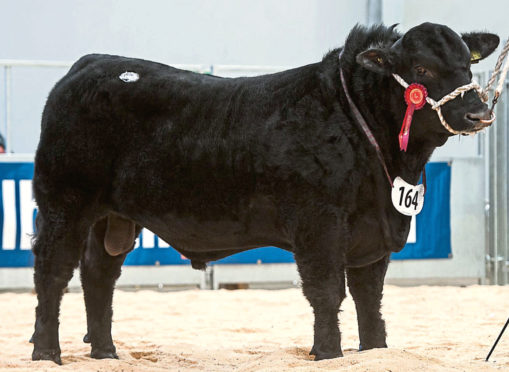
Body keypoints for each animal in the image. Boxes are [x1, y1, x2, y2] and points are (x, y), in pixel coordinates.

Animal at [30, 23, 496, 364]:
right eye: (422, 70)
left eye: (466, 66)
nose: (480, 112)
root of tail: (90, 65)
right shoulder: (319, 222)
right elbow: (327, 290)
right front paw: (328, 353)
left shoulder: (373, 232)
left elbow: (369, 297)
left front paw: (375, 351)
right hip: (63, 202)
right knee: (52, 273)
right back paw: (47, 353)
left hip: (113, 216)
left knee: (98, 275)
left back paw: (106, 353)